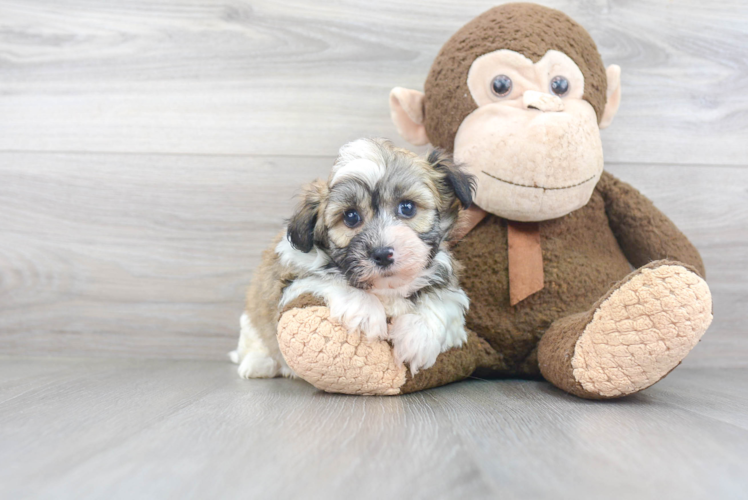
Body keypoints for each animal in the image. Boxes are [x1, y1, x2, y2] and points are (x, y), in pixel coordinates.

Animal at [229, 138, 474, 378]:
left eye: (407, 207)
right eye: (351, 217)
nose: (382, 254)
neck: (386, 288)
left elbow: (443, 299)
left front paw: (418, 337)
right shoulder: (292, 276)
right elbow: (327, 278)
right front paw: (366, 312)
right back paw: (258, 363)